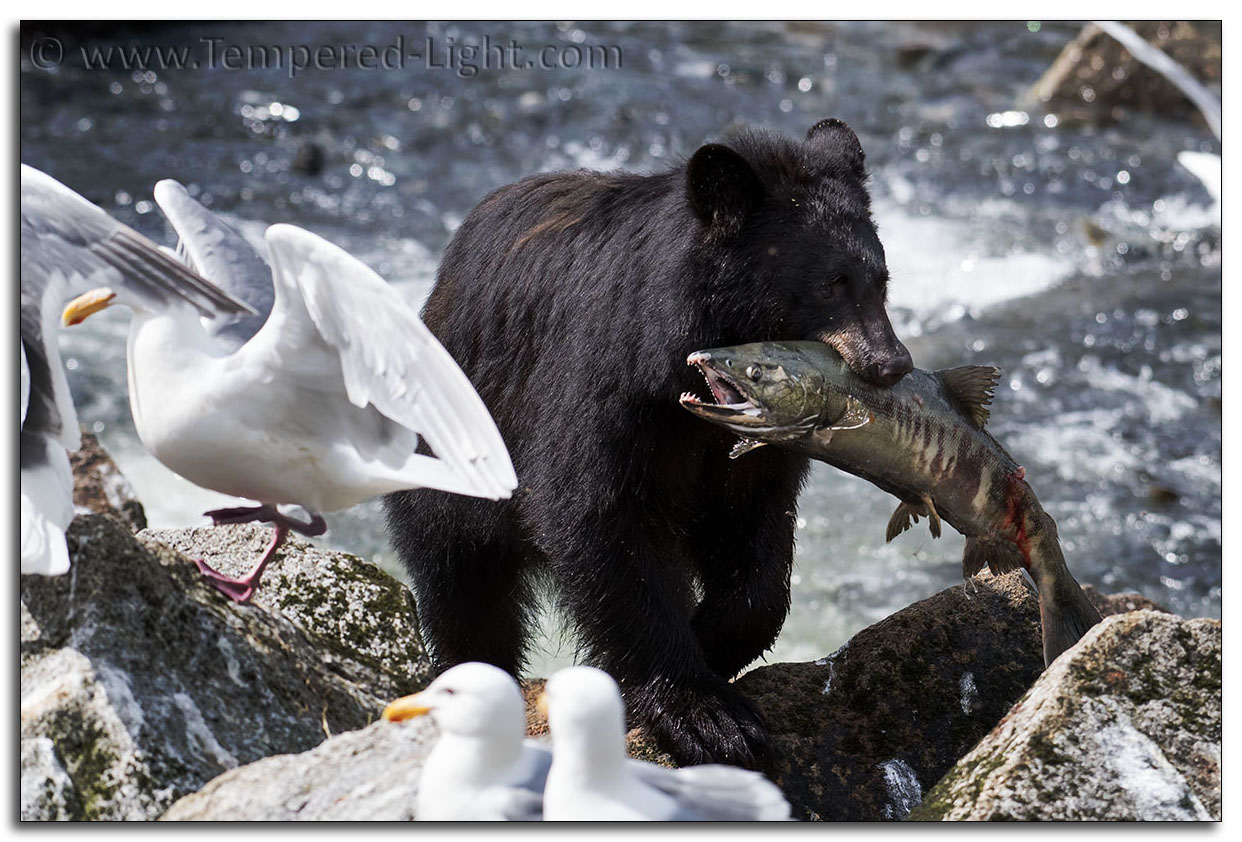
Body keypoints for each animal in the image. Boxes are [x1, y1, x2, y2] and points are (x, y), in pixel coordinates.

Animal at [385, 118, 914, 769]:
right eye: (829, 285)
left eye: (880, 280)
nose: (891, 364)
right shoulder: (608, 389)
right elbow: (597, 516)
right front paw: (706, 715)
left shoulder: (750, 444)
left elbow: (755, 534)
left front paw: (713, 637)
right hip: (452, 446)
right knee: (464, 587)